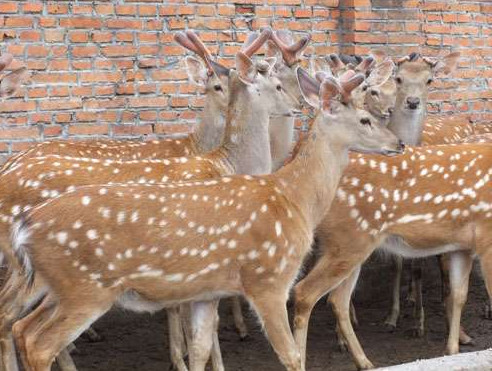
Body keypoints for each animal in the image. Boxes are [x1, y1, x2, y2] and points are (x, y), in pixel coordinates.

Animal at [294, 141, 490, 370]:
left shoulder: (462, 247)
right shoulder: (486, 238)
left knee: (337, 300)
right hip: (349, 240)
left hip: (345, 246)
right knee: (304, 293)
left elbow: (458, 295)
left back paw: (364, 362)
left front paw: (451, 350)